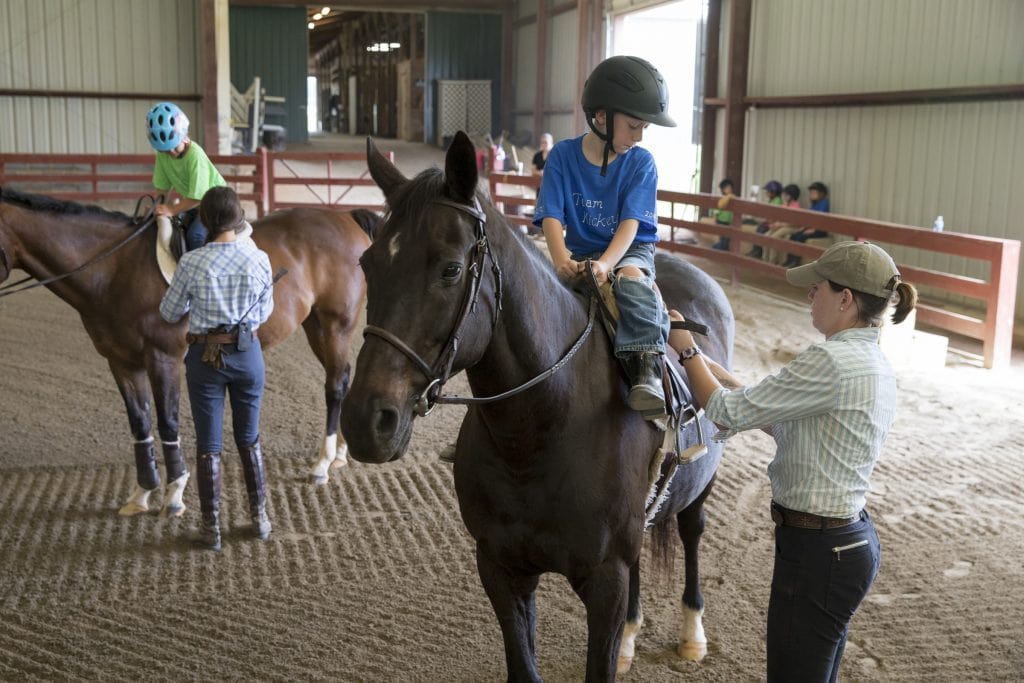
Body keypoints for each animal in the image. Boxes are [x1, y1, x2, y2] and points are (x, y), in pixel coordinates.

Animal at [0, 184, 376, 516]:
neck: (114, 270)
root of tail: (346, 218)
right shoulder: (120, 362)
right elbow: (140, 423)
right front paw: (142, 492)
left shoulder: (162, 358)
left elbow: (168, 422)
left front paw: (174, 493)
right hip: (315, 325)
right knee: (342, 377)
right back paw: (340, 452)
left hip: (336, 325)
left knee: (335, 385)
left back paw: (322, 464)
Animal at [344, 131, 737, 679]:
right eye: (367, 265)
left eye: (450, 269)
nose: (365, 421)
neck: (539, 430)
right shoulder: (500, 569)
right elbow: (523, 664)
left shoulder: (605, 582)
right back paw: (633, 637)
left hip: (699, 490)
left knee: (693, 534)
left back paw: (692, 633)